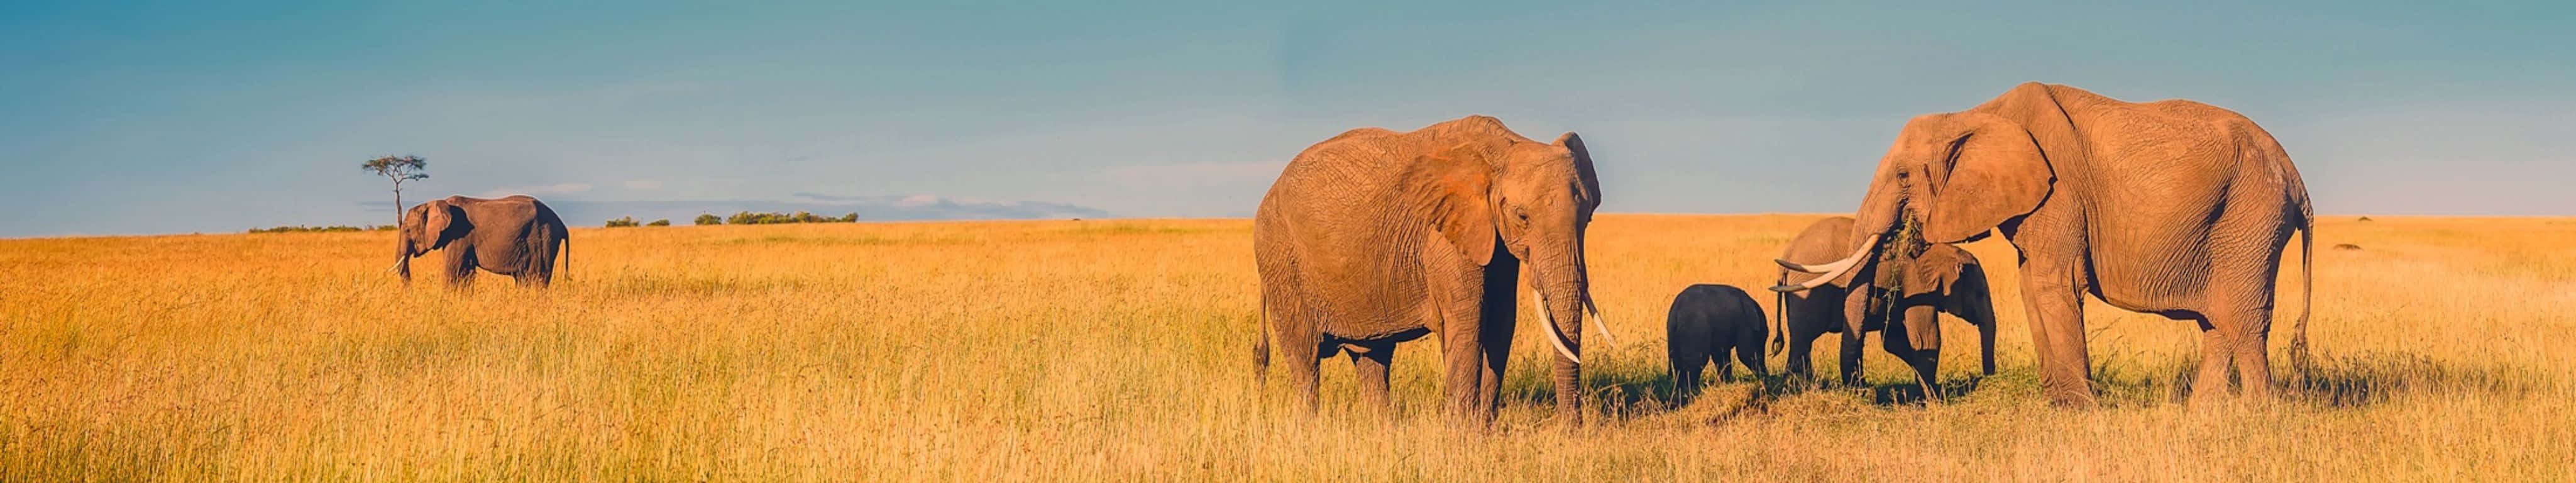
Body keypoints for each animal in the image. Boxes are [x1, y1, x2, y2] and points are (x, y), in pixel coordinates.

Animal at [394, 195, 571, 289]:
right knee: (524, 279)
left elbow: (452, 271)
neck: (438, 202)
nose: (410, 291)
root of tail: (561, 224)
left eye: (408, 230)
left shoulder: (459, 236)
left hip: (542, 239)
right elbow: (466, 272)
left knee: (537, 278)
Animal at [1252, 114, 1607, 423]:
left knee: (1372, 358)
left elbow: (1501, 321)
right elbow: (1468, 320)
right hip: (1280, 257)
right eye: (1523, 217)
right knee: (1305, 359)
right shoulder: (1443, 236)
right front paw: (1462, 432)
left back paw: (1384, 428)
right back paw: (1309, 426)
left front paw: (1483, 428)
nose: (1571, 429)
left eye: (1589, 217)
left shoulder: (1492, 237)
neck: (1504, 147)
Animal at [1669, 282, 1772, 400]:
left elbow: (1722, 357)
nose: (1768, 380)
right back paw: (1691, 394)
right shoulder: (1745, 325)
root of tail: (1676, 311)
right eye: (1761, 338)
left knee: (1680, 365)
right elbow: (1747, 354)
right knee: (1696, 363)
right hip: (1695, 329)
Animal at [1782, 216, 1999, 395]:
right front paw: (1933, 397)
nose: (1989, 376)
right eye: (1979, 294)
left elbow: (1893, 341)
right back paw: (1799, 387)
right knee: (1803, 339)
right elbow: (1925, 339)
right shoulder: (1917, 286)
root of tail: (1789, 253)